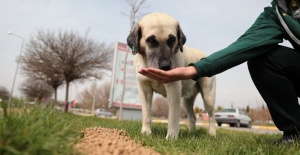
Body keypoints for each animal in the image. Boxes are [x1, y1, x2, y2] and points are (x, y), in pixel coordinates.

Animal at [126, 12, 216, 140]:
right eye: (151, 40)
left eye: (172, 39)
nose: (165, 66)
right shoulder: (144, 88)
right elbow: (146, 114)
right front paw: (146, 132)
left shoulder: (174, 89)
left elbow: (173, 117)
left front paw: (172, 137)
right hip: (186, 101)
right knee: (192, 117)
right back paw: (192, 133)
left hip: (208, 97)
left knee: (212, 117)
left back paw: (212, 134)